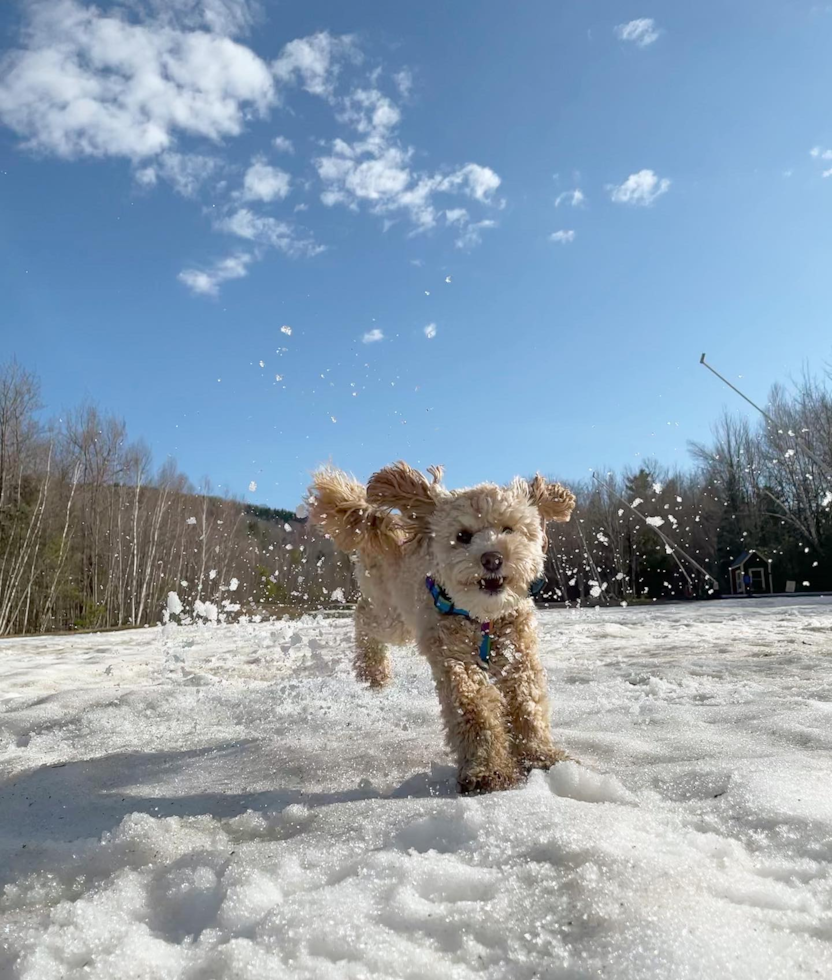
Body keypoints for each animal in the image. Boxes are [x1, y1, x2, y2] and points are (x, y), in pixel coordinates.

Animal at [308, 464, 576, 792]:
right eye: (463, 536)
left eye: (508, 529)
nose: (492, 559)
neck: (482, 618)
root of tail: (386, 521)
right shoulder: (453, 657)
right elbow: (474, 708)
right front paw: (488, 769)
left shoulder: (519, 652)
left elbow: (528, 704)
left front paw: (542, 756)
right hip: (393, 615)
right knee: (363, 616)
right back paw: (372, 672)